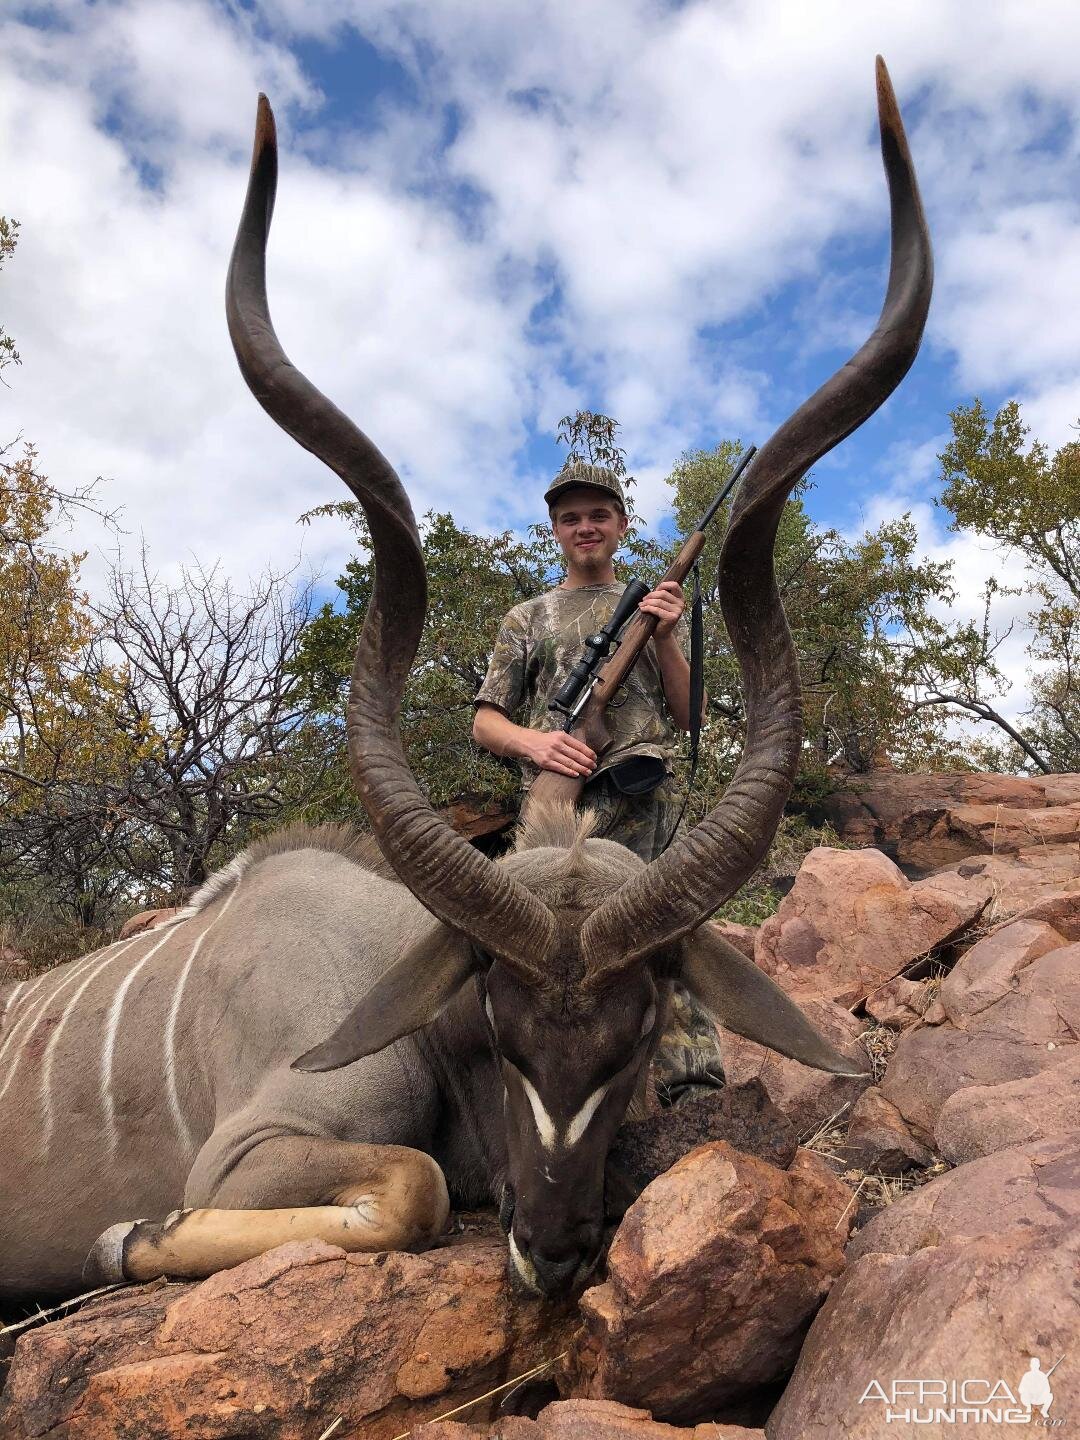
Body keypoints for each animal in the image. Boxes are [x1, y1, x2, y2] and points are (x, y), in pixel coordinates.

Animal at [0, 61, 933, 1307]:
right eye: (496, 1021)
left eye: (638, 1038)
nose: (556, 1249)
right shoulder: (247, 1149)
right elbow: (417, 1185)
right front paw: (124, 1239)